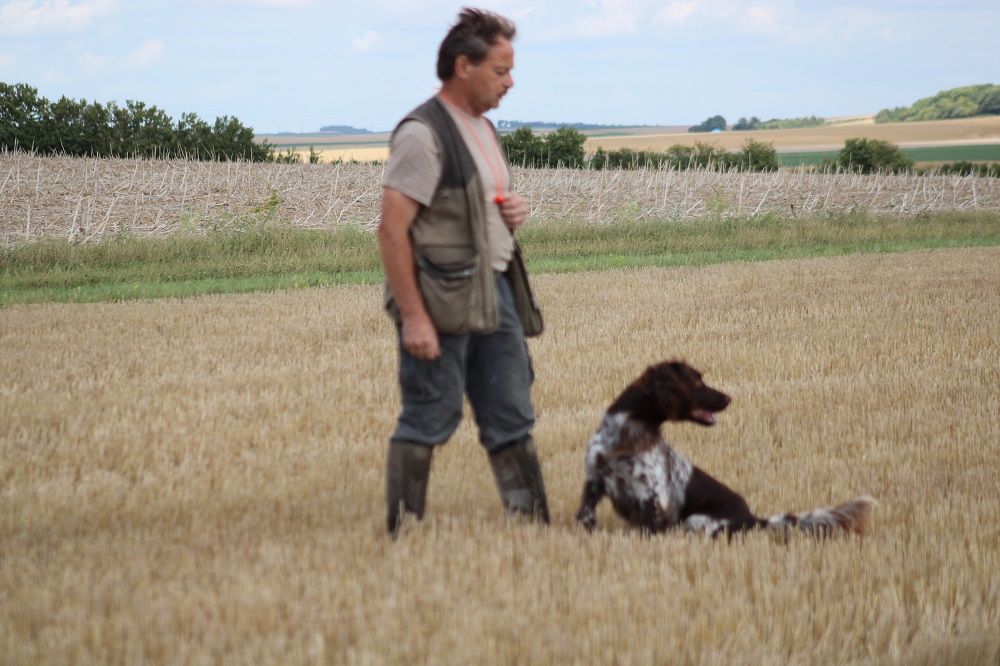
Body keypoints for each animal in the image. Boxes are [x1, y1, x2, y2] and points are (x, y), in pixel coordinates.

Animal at [576, 360, 872, 536]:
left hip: (697, 520)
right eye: (696, 381)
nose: (729, 398)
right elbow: (585, 516)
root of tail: (754, 519)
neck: (627, 436)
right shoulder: (594, 479)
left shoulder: (654, 496)